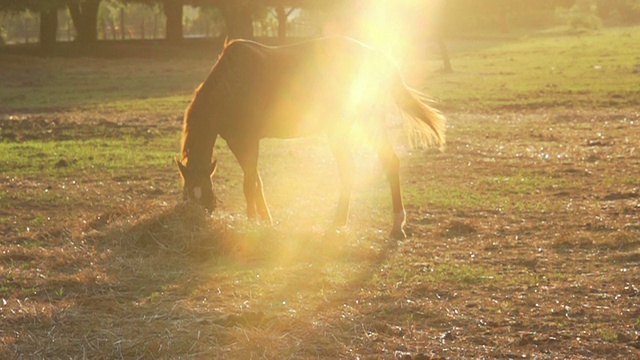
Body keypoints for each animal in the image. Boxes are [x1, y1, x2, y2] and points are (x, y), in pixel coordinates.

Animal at [175, 37, 444, 239]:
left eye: (202, 195)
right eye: (187, 194)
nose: (194, 220)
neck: (231, 85)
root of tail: (377, 57)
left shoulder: (247, 142)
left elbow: (249, 185)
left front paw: (252, 223)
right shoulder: (239, 144)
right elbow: (257, 182)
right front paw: (265, 221)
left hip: (359, 127)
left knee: (370, 166)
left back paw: (371, 224)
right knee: (372, 166)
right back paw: (365, 224)